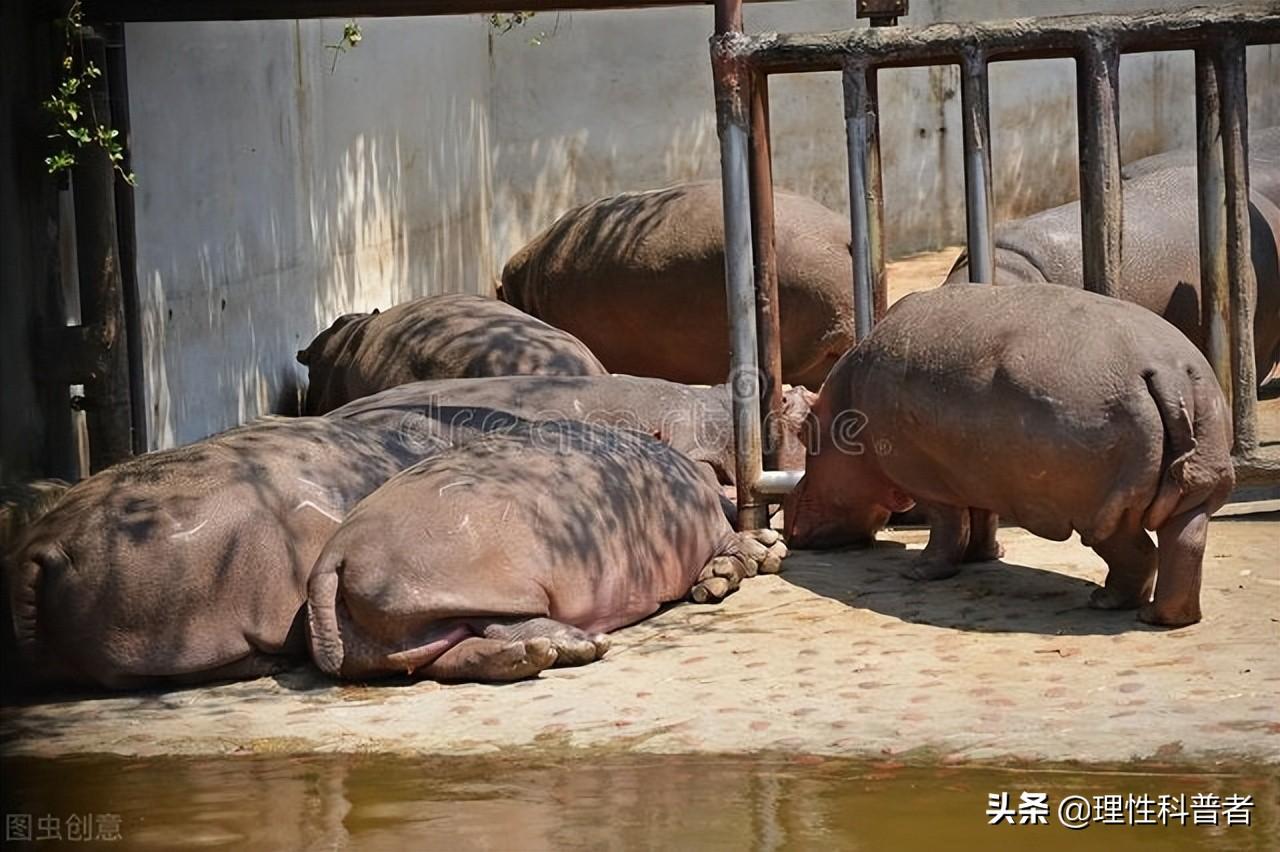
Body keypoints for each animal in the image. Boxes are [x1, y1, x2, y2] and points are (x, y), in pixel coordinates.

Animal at [309, 414, 788, 680]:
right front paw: (759, 553)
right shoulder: (707, 520)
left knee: (448, 658)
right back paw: (580, 645)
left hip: (401, 628)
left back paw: (534, 656)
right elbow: (731, 541)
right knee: (497, 623)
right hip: (473, 586)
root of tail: (335, 555)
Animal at [783, 285, 1233, 624]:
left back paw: (1107, 603)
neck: (846, 406)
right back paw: (1164, 618)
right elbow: (978, 518)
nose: (787, 519)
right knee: (1185, 543)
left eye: (805, 433)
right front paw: (983, 557)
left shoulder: (926, 481)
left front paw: (917, 572)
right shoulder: (974, 472)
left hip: (1099, 510)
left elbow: (947, 526)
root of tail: (1167, 370)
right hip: (1196, 483)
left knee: (1139, 552)